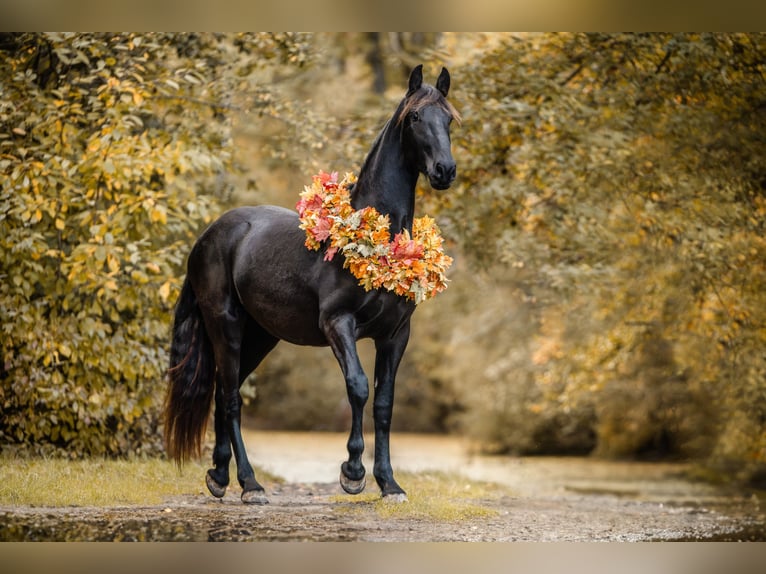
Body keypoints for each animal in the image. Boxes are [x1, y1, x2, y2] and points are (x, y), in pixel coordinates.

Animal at [164, 65, 460, 504]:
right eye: (415, 118)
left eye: (449, 119)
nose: (444, 170)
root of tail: (209, 235)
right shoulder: (338, 324)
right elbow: (358, 387)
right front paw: (352, 473)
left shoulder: (395, 335)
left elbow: (384, 403)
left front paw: (389, 484)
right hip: (225, 325)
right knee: (231, 398)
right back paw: (251, 485)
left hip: (261, 336)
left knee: (222, 392)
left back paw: (219, 476)